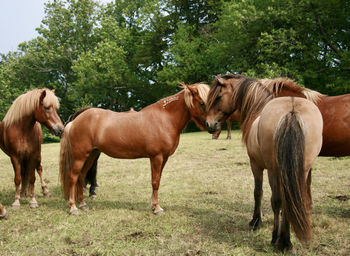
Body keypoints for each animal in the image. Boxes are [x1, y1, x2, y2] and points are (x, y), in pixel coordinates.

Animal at [59, 83, 211, 215]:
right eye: (202, 103)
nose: (212, 126)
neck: (165, 119)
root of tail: (75, 121)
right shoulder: (156, 157)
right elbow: (155, 182)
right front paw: (157, 208)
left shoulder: (164, 158)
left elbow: (158, 180)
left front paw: (153, 205)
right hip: (80, 156)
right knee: (73, 177)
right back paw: (73, 208)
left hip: (92, 155)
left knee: (81, 176)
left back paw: (83, 204)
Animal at [205, 74, 322, 252]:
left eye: (218, 96)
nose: (209, 124)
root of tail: (292, 110)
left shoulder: (256, 165)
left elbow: (258, 192)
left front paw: (255, 221)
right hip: (301, 170)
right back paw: (286, 241)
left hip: (273, 170)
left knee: (278, 201)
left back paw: (278, 240)